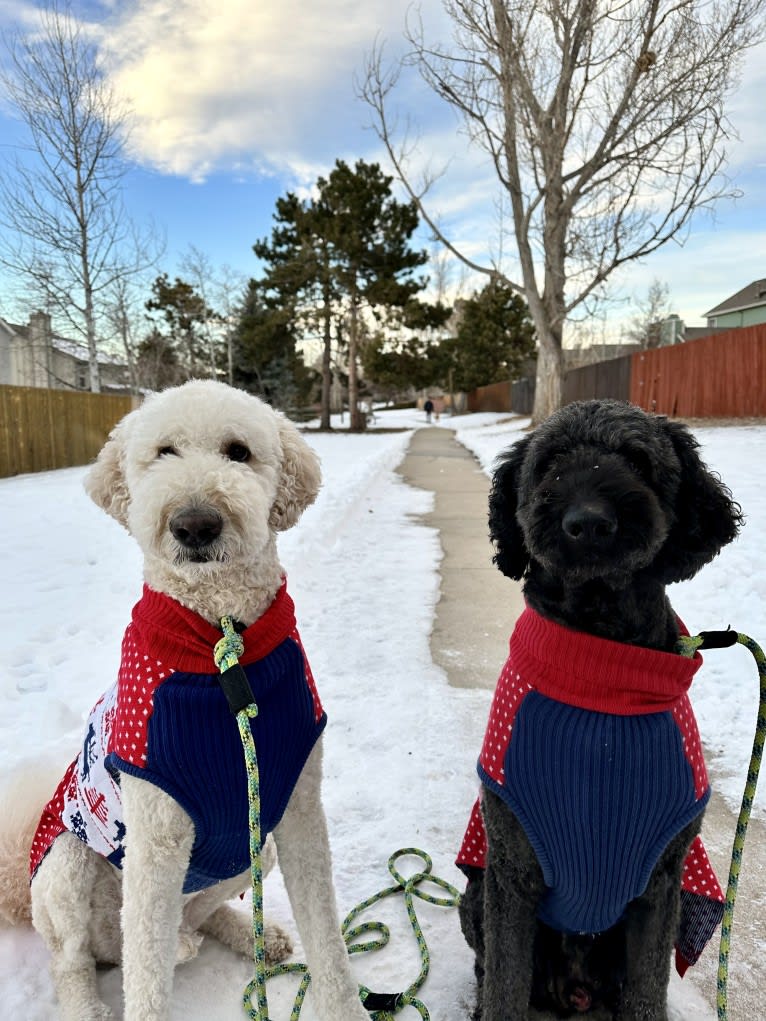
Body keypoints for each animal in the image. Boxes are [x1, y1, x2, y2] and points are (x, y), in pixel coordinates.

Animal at [0, 381, 371, 1021]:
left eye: (238, 452)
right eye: (164, 452)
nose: (194, 524)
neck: (222, 645)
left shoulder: (298, 810)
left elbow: (328, 940)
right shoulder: (156, 840)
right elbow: (146, 982)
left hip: (254, 849)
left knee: (193, 920)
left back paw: (246, 937)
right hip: (66, 865)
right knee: (78, 960)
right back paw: (93, 1000)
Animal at [459, 400, 739, 1021]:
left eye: (637, 459)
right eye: (550, 461)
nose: (588, 521)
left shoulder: (662, 882)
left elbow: (647, 992)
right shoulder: (511, 872)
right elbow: (505, 987)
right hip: (475, 897)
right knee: (489, 970)